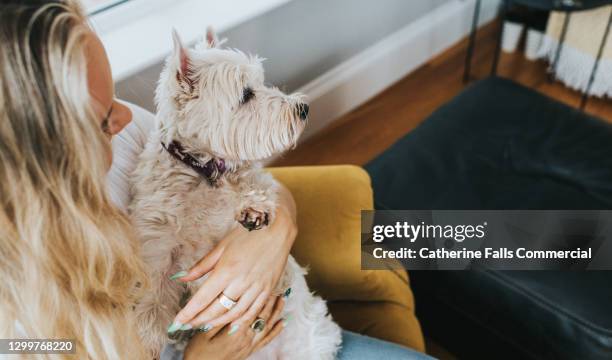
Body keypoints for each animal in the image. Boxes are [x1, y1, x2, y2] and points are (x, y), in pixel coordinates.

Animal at [130, 28, 342, 360]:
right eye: (246, 94)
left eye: (261, 83)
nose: (304, 108)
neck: (203, 171)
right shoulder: (158, 244)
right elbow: (154, 290)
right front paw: (148, 337)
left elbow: (255, 187)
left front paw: (253, 208)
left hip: (313, 339)